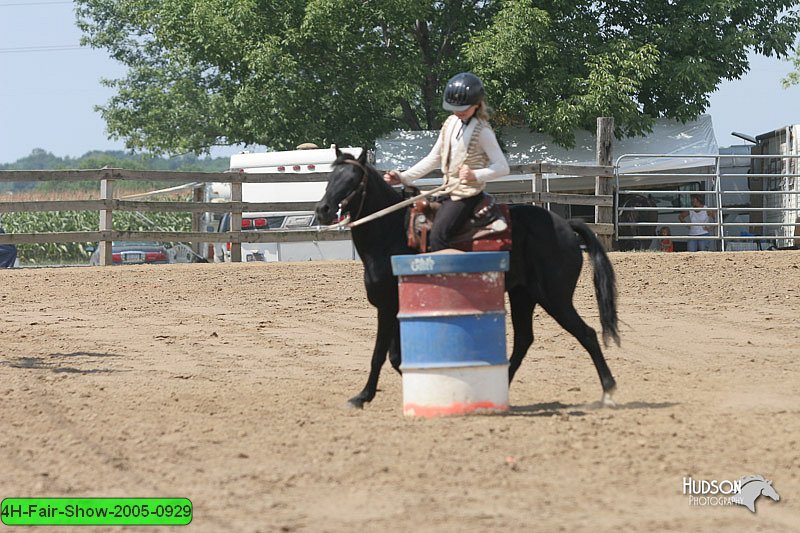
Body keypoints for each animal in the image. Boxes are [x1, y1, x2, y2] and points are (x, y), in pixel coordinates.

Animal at [316, 150, 620, 408]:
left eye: (353, 179)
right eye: (330, 177)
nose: (323, 209)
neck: (391, 233)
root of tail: (565, 225)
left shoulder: (388, 306)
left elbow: (380, 354)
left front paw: (362, 397)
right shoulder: (392, 306)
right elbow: (395, 357)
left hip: (555, 297)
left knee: (587, 334)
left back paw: (608, 391)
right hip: (523, 295)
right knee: (524, 339)